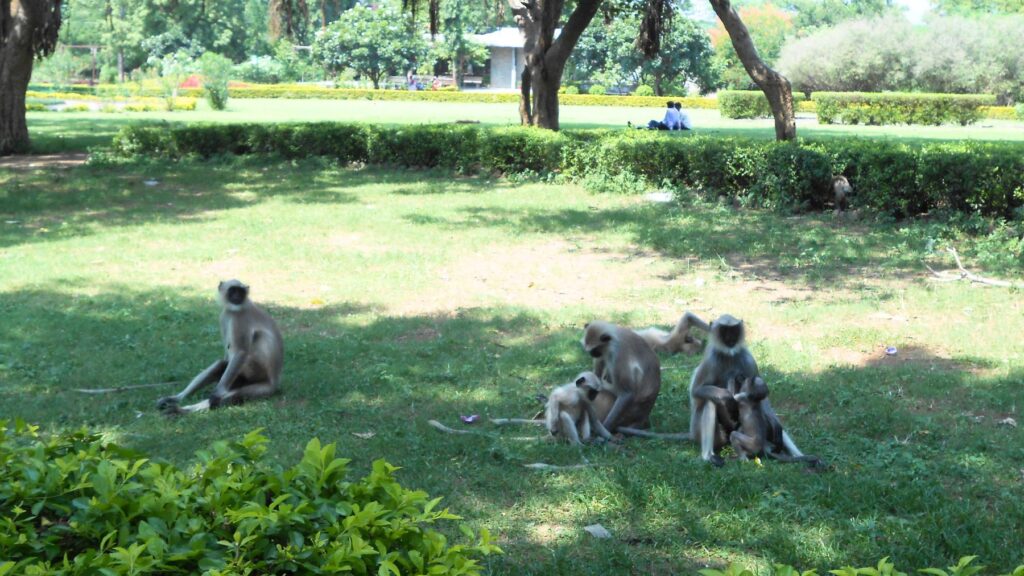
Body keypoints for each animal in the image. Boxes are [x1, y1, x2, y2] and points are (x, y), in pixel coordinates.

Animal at [156, 280, 284, 415]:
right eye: (233, 290)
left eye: (241, 291)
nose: (237, 297)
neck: (235, 309)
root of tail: (274, 382)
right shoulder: (224, 316)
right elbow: (227, 357)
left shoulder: (240, 318)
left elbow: (241, 352)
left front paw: (218, 391)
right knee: (221, 364)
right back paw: (176, 399)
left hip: (258, 376)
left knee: (232, 395)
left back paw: (180, 410)